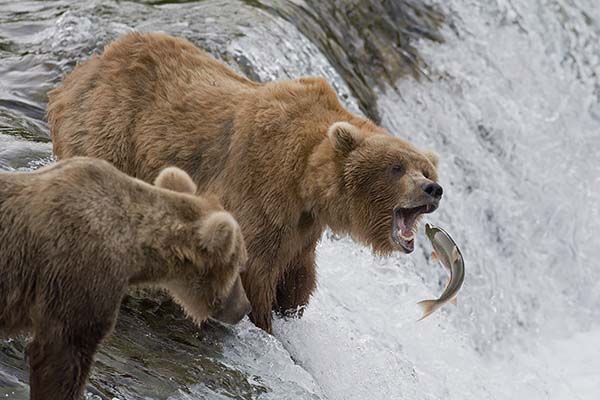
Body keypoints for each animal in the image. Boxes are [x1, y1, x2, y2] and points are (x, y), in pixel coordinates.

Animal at [49, 32, 442, 332]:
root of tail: (85, 67)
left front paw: (288, 310)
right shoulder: (262, 187)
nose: (432, 189)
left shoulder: (302, 228)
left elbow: (297, 278)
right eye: (396, 167)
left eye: (425, 169)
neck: (307, 181)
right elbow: (256, 268)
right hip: (112, 131)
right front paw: (264, 321)